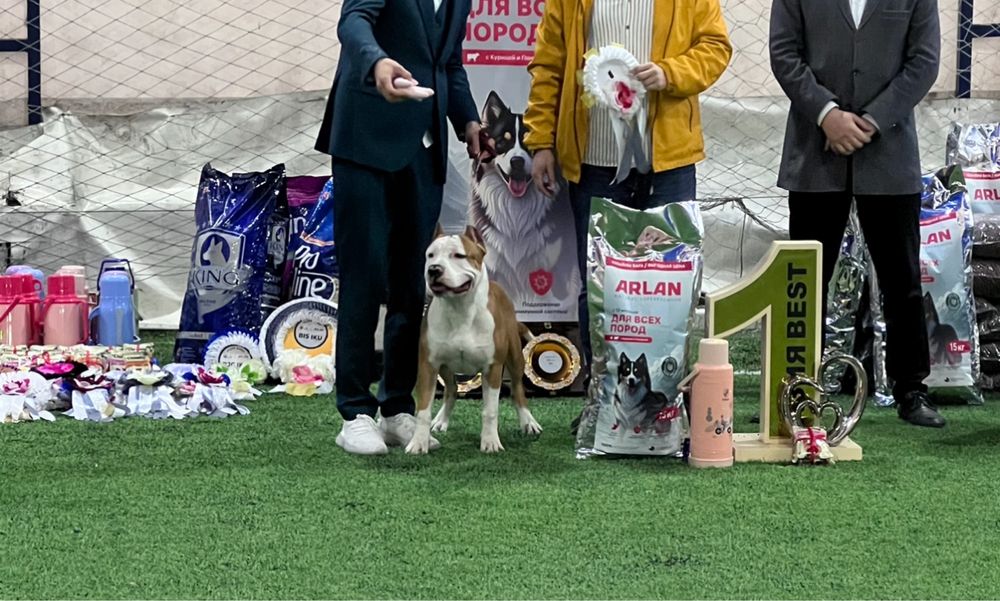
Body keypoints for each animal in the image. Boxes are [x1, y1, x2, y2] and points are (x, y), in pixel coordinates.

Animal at [406, 225, 543, 454]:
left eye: (459, 255)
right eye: (430, 255)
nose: (434, 269)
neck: (459, 308)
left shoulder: (492, 368)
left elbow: (490, 410)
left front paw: (490, 442)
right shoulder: (428, 365)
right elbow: (423, 409)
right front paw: (418, 442)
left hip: (515, 359)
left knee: (517, 390)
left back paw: (528, 422)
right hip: (445, 368)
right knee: (451, 390)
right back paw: (441, 420)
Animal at [468, 91, 579, 306]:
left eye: (531, 142)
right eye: (502, 141)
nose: (517, 162)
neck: (515, 211)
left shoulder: (556, 272)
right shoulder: (493, 266)